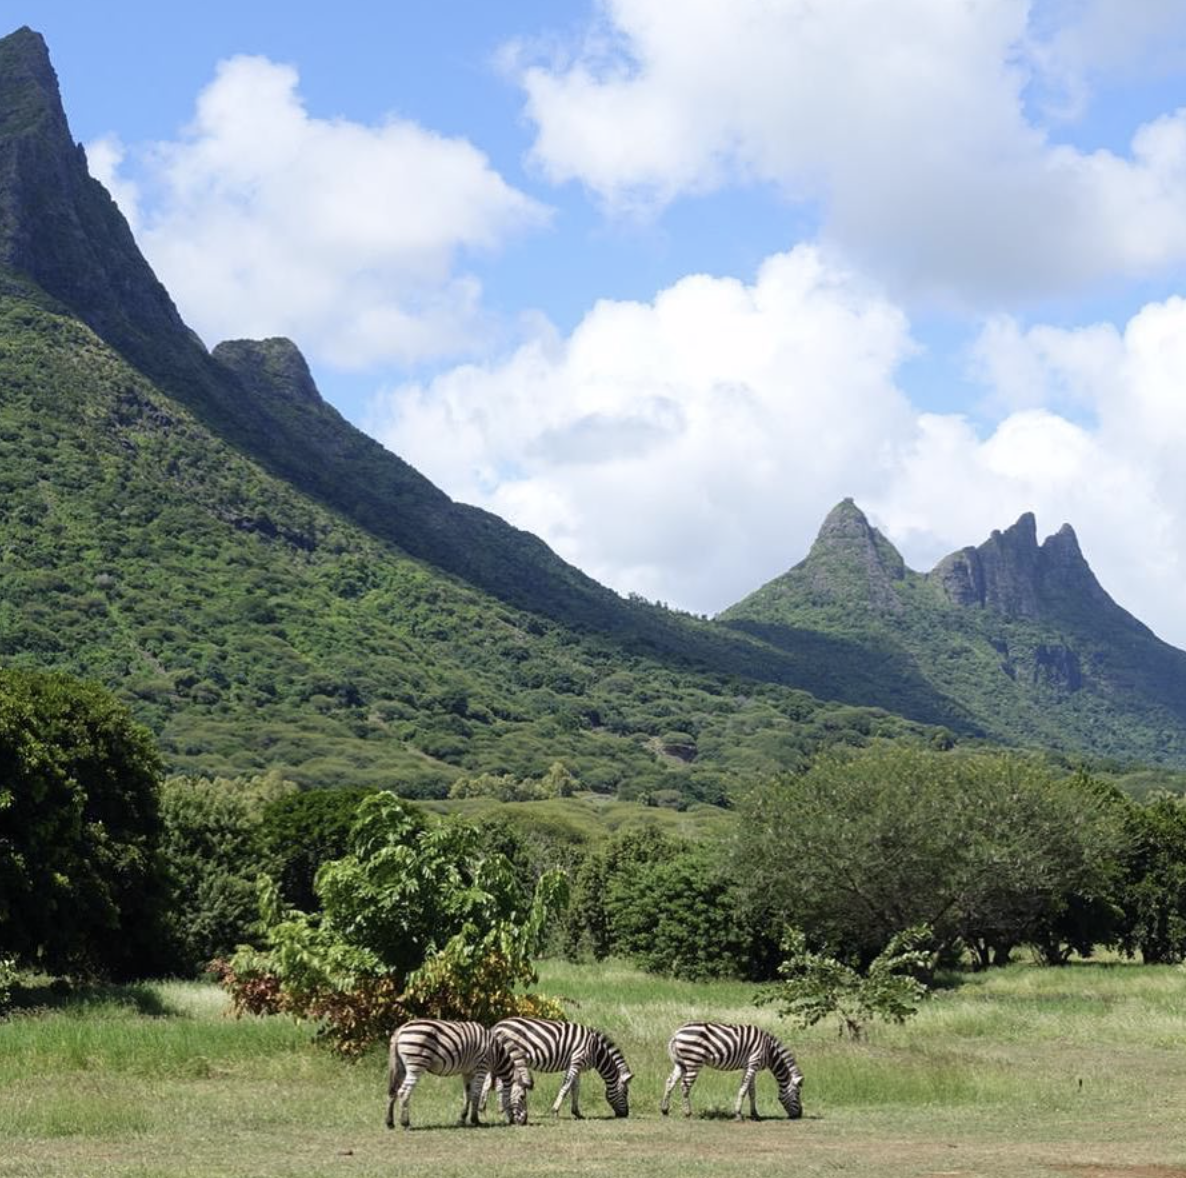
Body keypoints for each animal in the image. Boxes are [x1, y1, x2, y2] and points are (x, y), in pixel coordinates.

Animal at [384, 1015, 528, 1124]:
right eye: (522, 1096)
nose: (523, 1121)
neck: (496, 1054)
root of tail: (401, 1029)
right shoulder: (481, 1067)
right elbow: (476, 1094)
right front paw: (475, 1120)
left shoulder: (467, 1072)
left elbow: (467, 1094)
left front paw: (462, 1118)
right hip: (416, 1064)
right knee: (403, 1092)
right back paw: (405, 1123)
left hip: (401, 1066)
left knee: (393, 1091)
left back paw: (390, 1122)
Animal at [481, 1015, 635, 1115]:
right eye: (626, 1092)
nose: (625, 1114)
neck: (596, 1050)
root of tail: (497, 1026)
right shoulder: (576, 1060)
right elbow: (566, 1087)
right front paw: (555, 1110)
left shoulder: (576, 1065)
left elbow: (575, 1088)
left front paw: (577, 1112)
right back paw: (496, 1107)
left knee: (491, 1082)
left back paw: (489, 1108)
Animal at [659, 1020, 806, 1119]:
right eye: (798, 1093)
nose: (799, 1115)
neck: (769, 1051)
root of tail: (677, 1033)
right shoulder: (753, 1062)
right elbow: (744, 1089)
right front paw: (738, 1114)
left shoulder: (750, 1066)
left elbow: (752, 1091)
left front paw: (755, 1114)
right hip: (693, 1061)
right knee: (685, 1086)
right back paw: (688, 1113)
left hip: (680, 1063)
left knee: (670, 1082)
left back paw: (664, 1110)